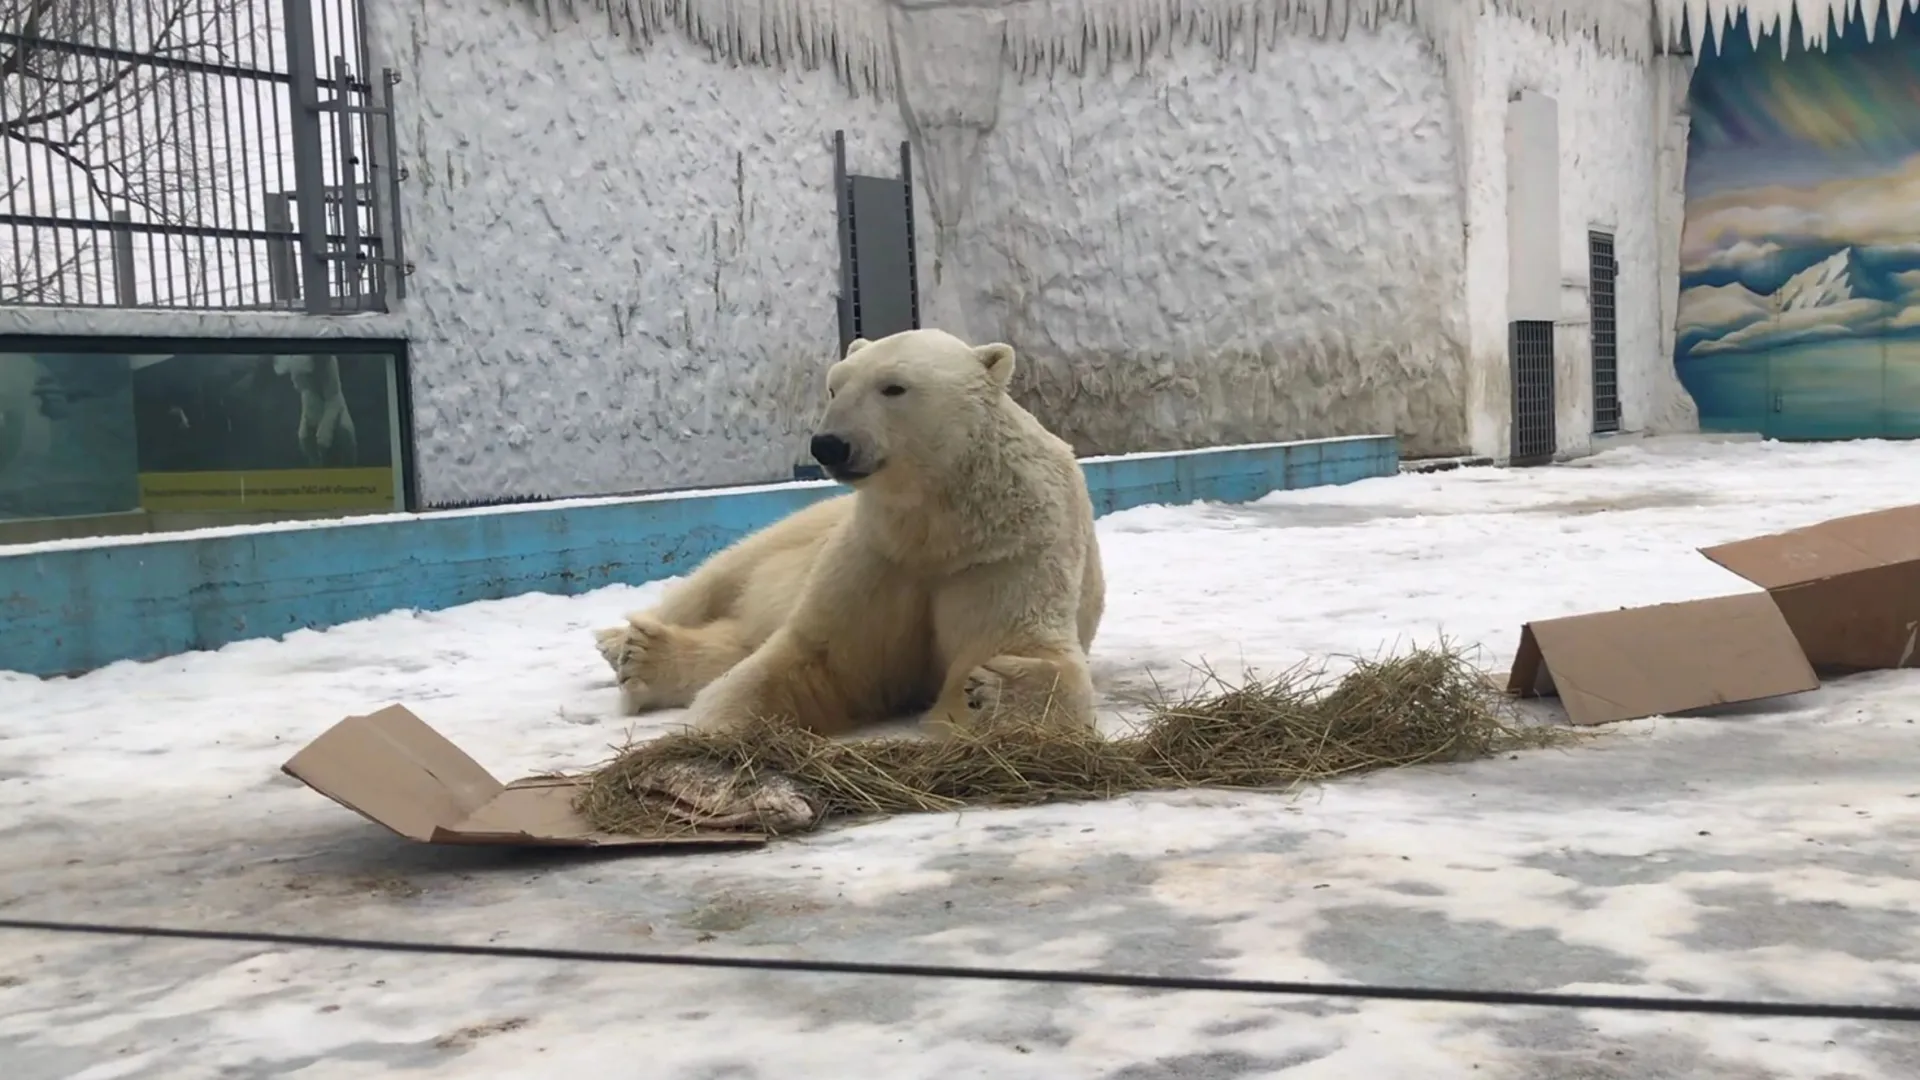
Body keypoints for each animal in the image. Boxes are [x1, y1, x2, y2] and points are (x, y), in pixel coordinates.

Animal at [591, 322, 1105, 734]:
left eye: (894, 387)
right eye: (835, 386)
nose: (829, 444)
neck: (936, 527)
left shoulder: (1006, 556)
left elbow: (1016, 647)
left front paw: (989, 689)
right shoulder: (877, 551)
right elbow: (815, 657)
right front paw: (714, 726)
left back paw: (644, 656)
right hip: (798, 528)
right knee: (714, 581)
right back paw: (623, 645)